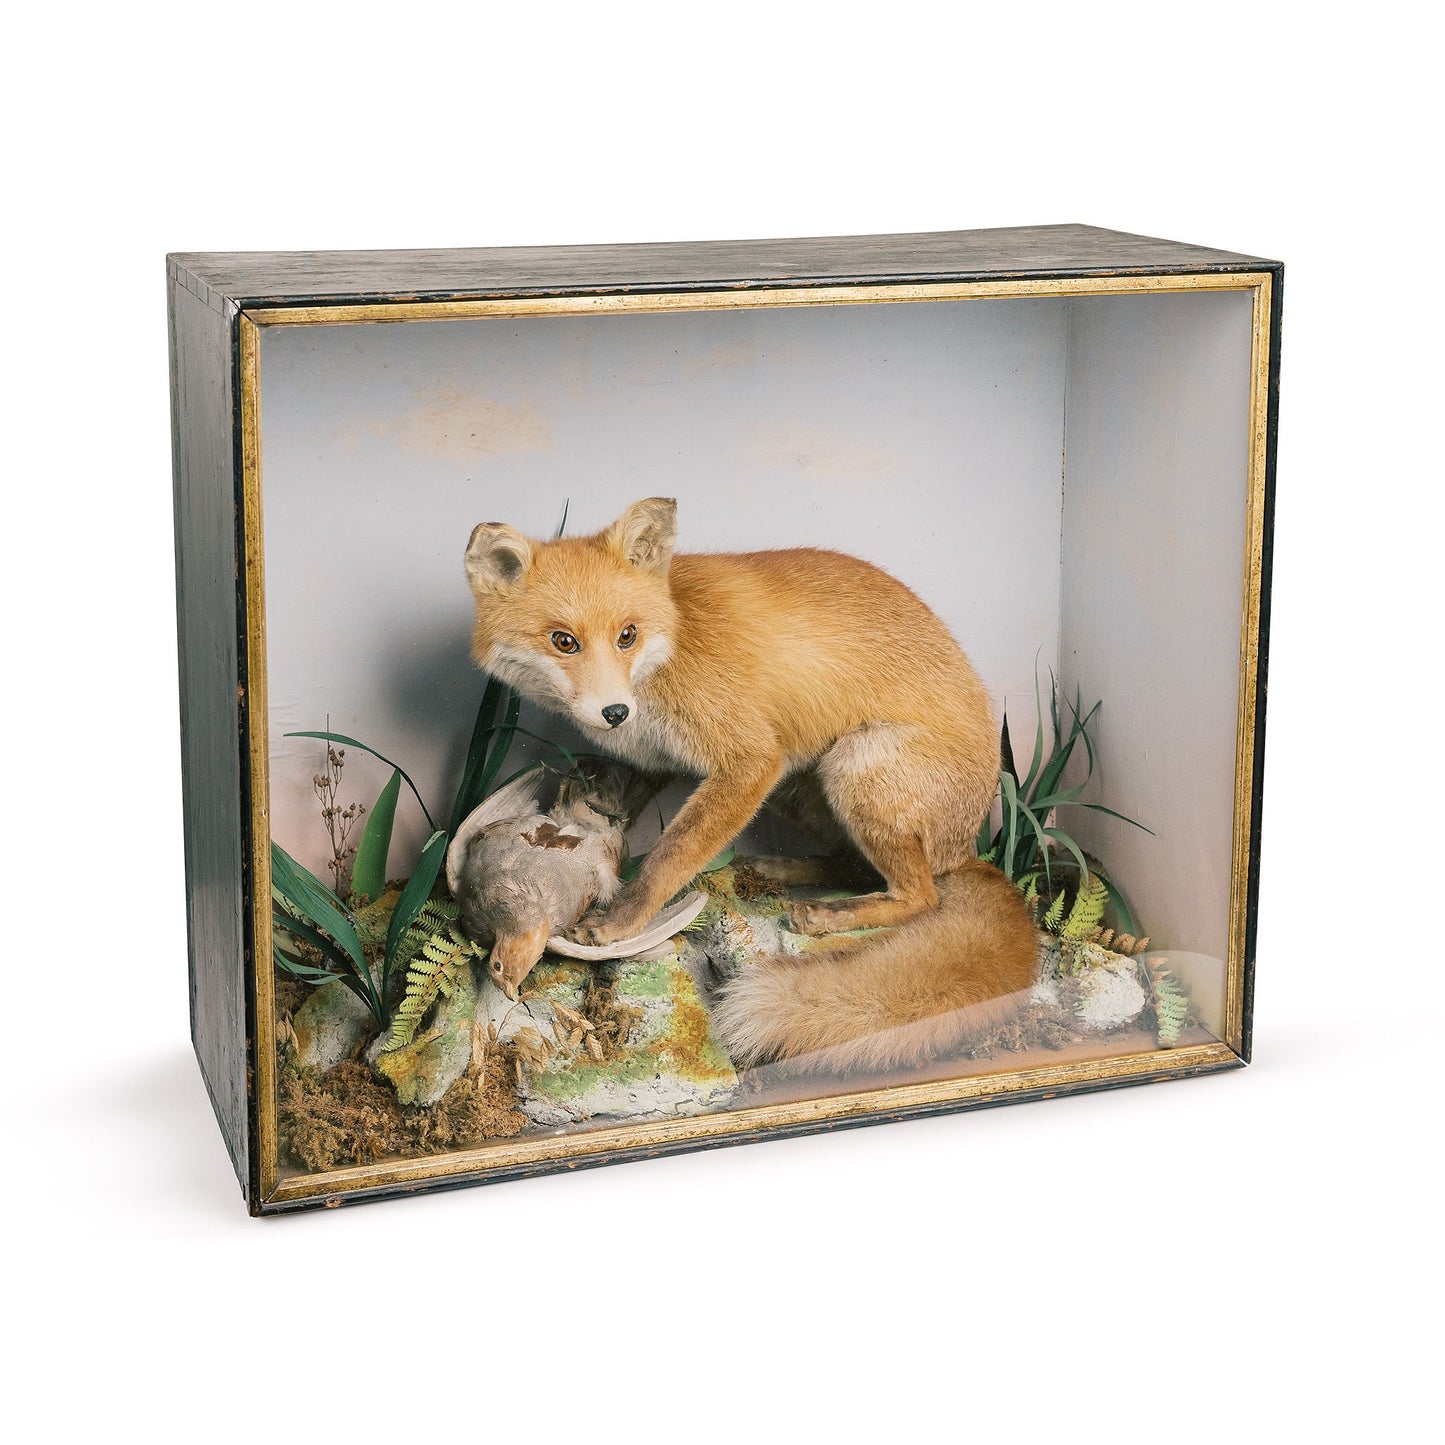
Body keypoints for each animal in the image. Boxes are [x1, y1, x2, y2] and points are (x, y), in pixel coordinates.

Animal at [463, 496, 1038, 1072]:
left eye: (627, 635)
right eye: (564, 641)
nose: (614, 711)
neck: (672, 642)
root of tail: (966, 851)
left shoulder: (752, 760)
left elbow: (671, 856)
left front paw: (620, 922)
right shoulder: (678, 750)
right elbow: (641, 786)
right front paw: (603, 803)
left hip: (852, 765)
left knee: (920, 897)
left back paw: (827, 914)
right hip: (801, 782)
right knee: (854, 865)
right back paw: (784, 870)